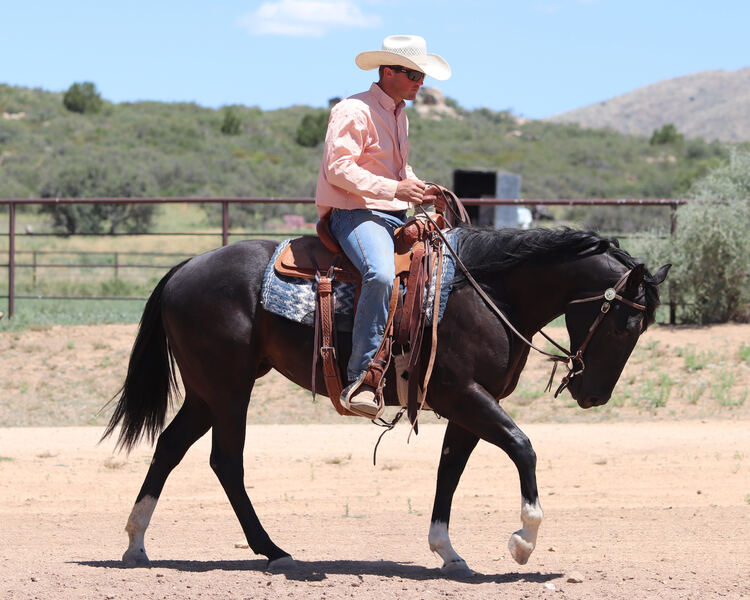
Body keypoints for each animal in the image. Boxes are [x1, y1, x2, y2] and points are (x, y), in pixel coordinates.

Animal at [103, 226, 672, 576]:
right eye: (625, 325)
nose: (594, 395)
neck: (489, 291)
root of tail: (185, 267)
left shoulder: (467, 405)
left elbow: (450, 471)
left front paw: (448, 553)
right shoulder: (465, 394)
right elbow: (522, 446)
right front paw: (523, 541)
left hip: (207, 391)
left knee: (170, 448)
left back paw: (136, 544)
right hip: (227, 389)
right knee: (225, 461)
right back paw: (273, 551)